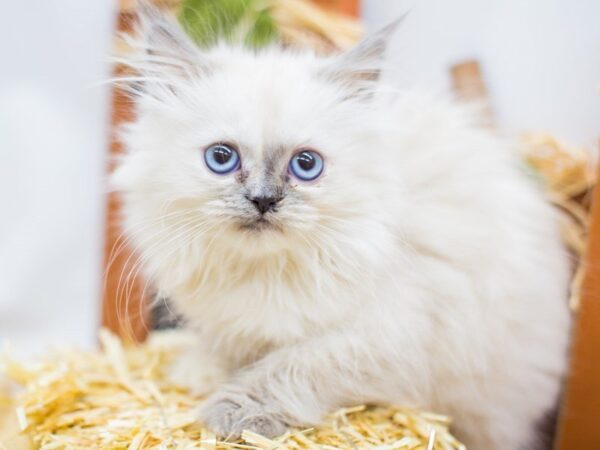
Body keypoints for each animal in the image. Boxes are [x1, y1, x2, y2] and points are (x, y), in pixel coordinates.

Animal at [113, 5, 572, 448]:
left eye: (306, 165)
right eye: (221, 158)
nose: (263, 200)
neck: (265, 272)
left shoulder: (381, 337)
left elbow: (287, 367)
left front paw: (233, 414)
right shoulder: (231, 320)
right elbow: (226, 350)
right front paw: (198, 374)